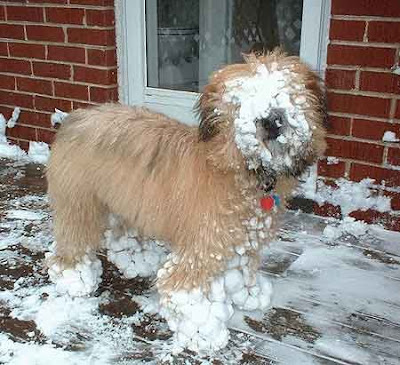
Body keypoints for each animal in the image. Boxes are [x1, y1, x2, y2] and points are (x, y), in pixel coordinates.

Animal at [47, 49, 328, 352]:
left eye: (287, 92)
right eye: (243, 98)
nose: (271, 121)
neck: (238, 170)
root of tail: (73, 118)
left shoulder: (241, 240)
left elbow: (242, 269)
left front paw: (248, 295)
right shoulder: (202, 245)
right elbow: (182, 288)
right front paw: (203, 333)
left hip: (126, 197)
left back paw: (136, 259)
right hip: (79, 202)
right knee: (72, 240)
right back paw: (74, 279)